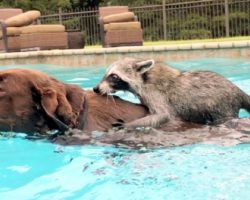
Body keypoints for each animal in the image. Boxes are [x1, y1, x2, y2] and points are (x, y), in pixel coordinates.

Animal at [93, 57, 250, 128]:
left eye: (113, 76)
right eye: (106, 74)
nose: (95, 89)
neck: (144, 77)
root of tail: (236, 90)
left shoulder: (155, 93)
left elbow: (163, 115)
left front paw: (129, 125)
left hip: (222, 106)